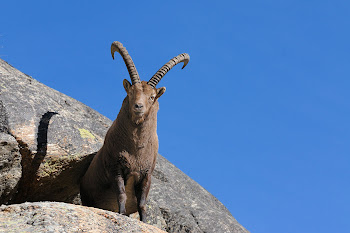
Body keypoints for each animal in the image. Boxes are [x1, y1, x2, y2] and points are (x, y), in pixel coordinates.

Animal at [79, 41, 190, 222]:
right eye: (131, 92)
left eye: (152, 96)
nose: (138, 106)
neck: (136, 150)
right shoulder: (115, 167)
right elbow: (122, 194)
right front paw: (121, 214)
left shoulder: (146, 175)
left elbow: (142, 203)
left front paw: (144, 221)